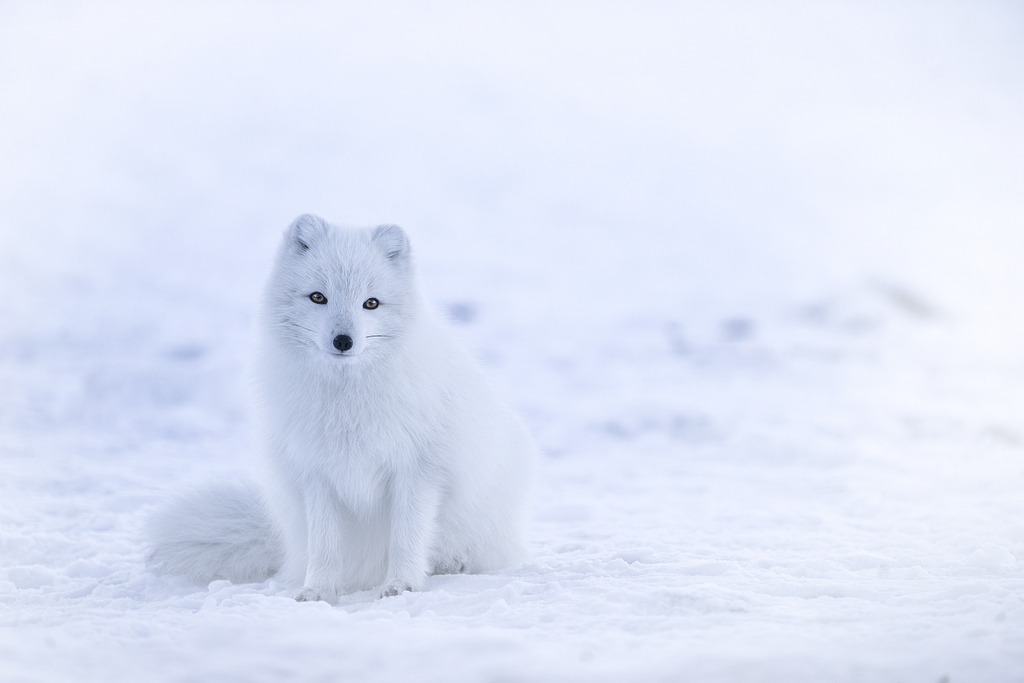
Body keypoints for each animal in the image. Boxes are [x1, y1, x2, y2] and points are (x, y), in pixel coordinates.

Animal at [151, 216, 540, 602]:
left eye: (371, 303)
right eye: (318, 297)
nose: (343, 341)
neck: (347, 400)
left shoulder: (418, 471)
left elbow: (406, 537)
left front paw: (402, 585)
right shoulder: (317, 474)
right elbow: (325, 545)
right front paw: (318, 590)